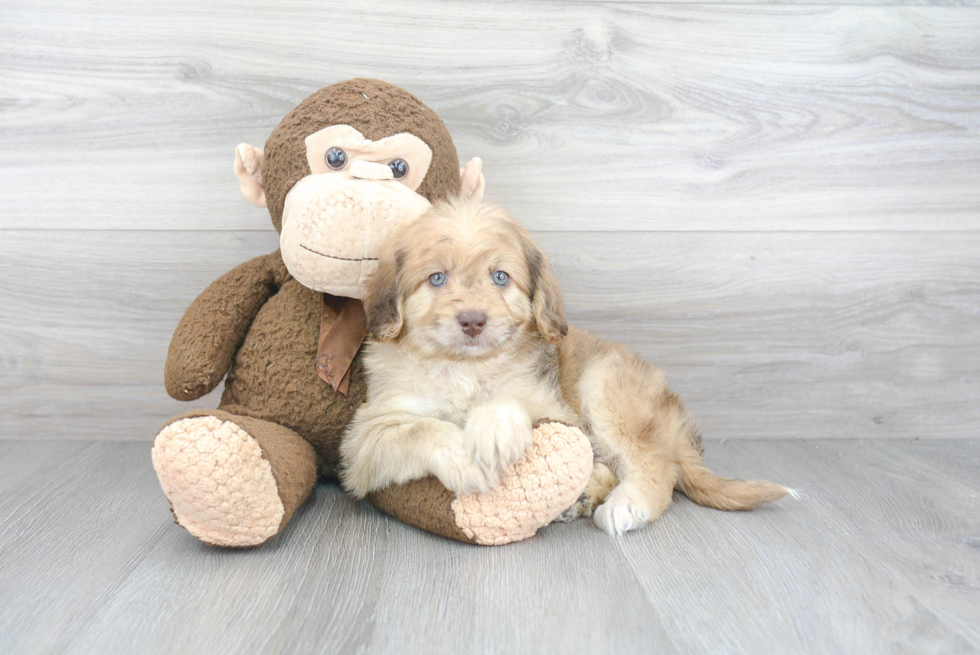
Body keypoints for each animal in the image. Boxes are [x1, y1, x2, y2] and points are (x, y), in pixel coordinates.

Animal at [340, 197, 792, 536]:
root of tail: (676, 421)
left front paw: (492, 430)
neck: (466, 368)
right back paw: (583, 497)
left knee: (655, 463)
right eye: (436, 278)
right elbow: (421, 428)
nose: (472, 321)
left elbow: (508, 399)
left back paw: (626, 506)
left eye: (500, 277)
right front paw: (466, 458)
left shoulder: (554, 407)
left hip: (603, 388)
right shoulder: (368, 433)